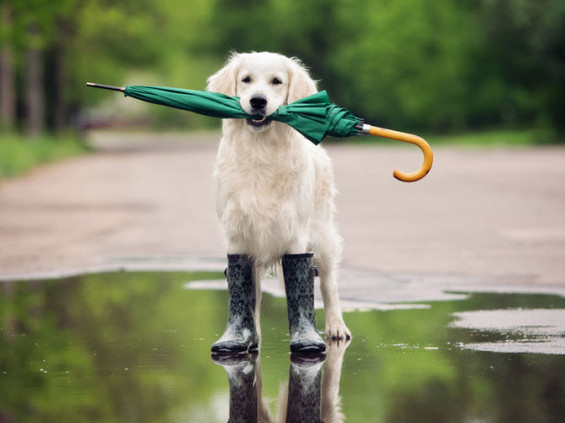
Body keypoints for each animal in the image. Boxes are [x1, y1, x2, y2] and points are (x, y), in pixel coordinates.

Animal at [206, 53, 348, 344]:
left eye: (276, 81)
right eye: (246, 79)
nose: (257, 101)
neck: (261, 151)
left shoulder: (295, 233)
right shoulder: (237, 233)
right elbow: (246, 291)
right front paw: (245, 336)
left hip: (322, 234)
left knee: (328, 282)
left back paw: (336, 327)